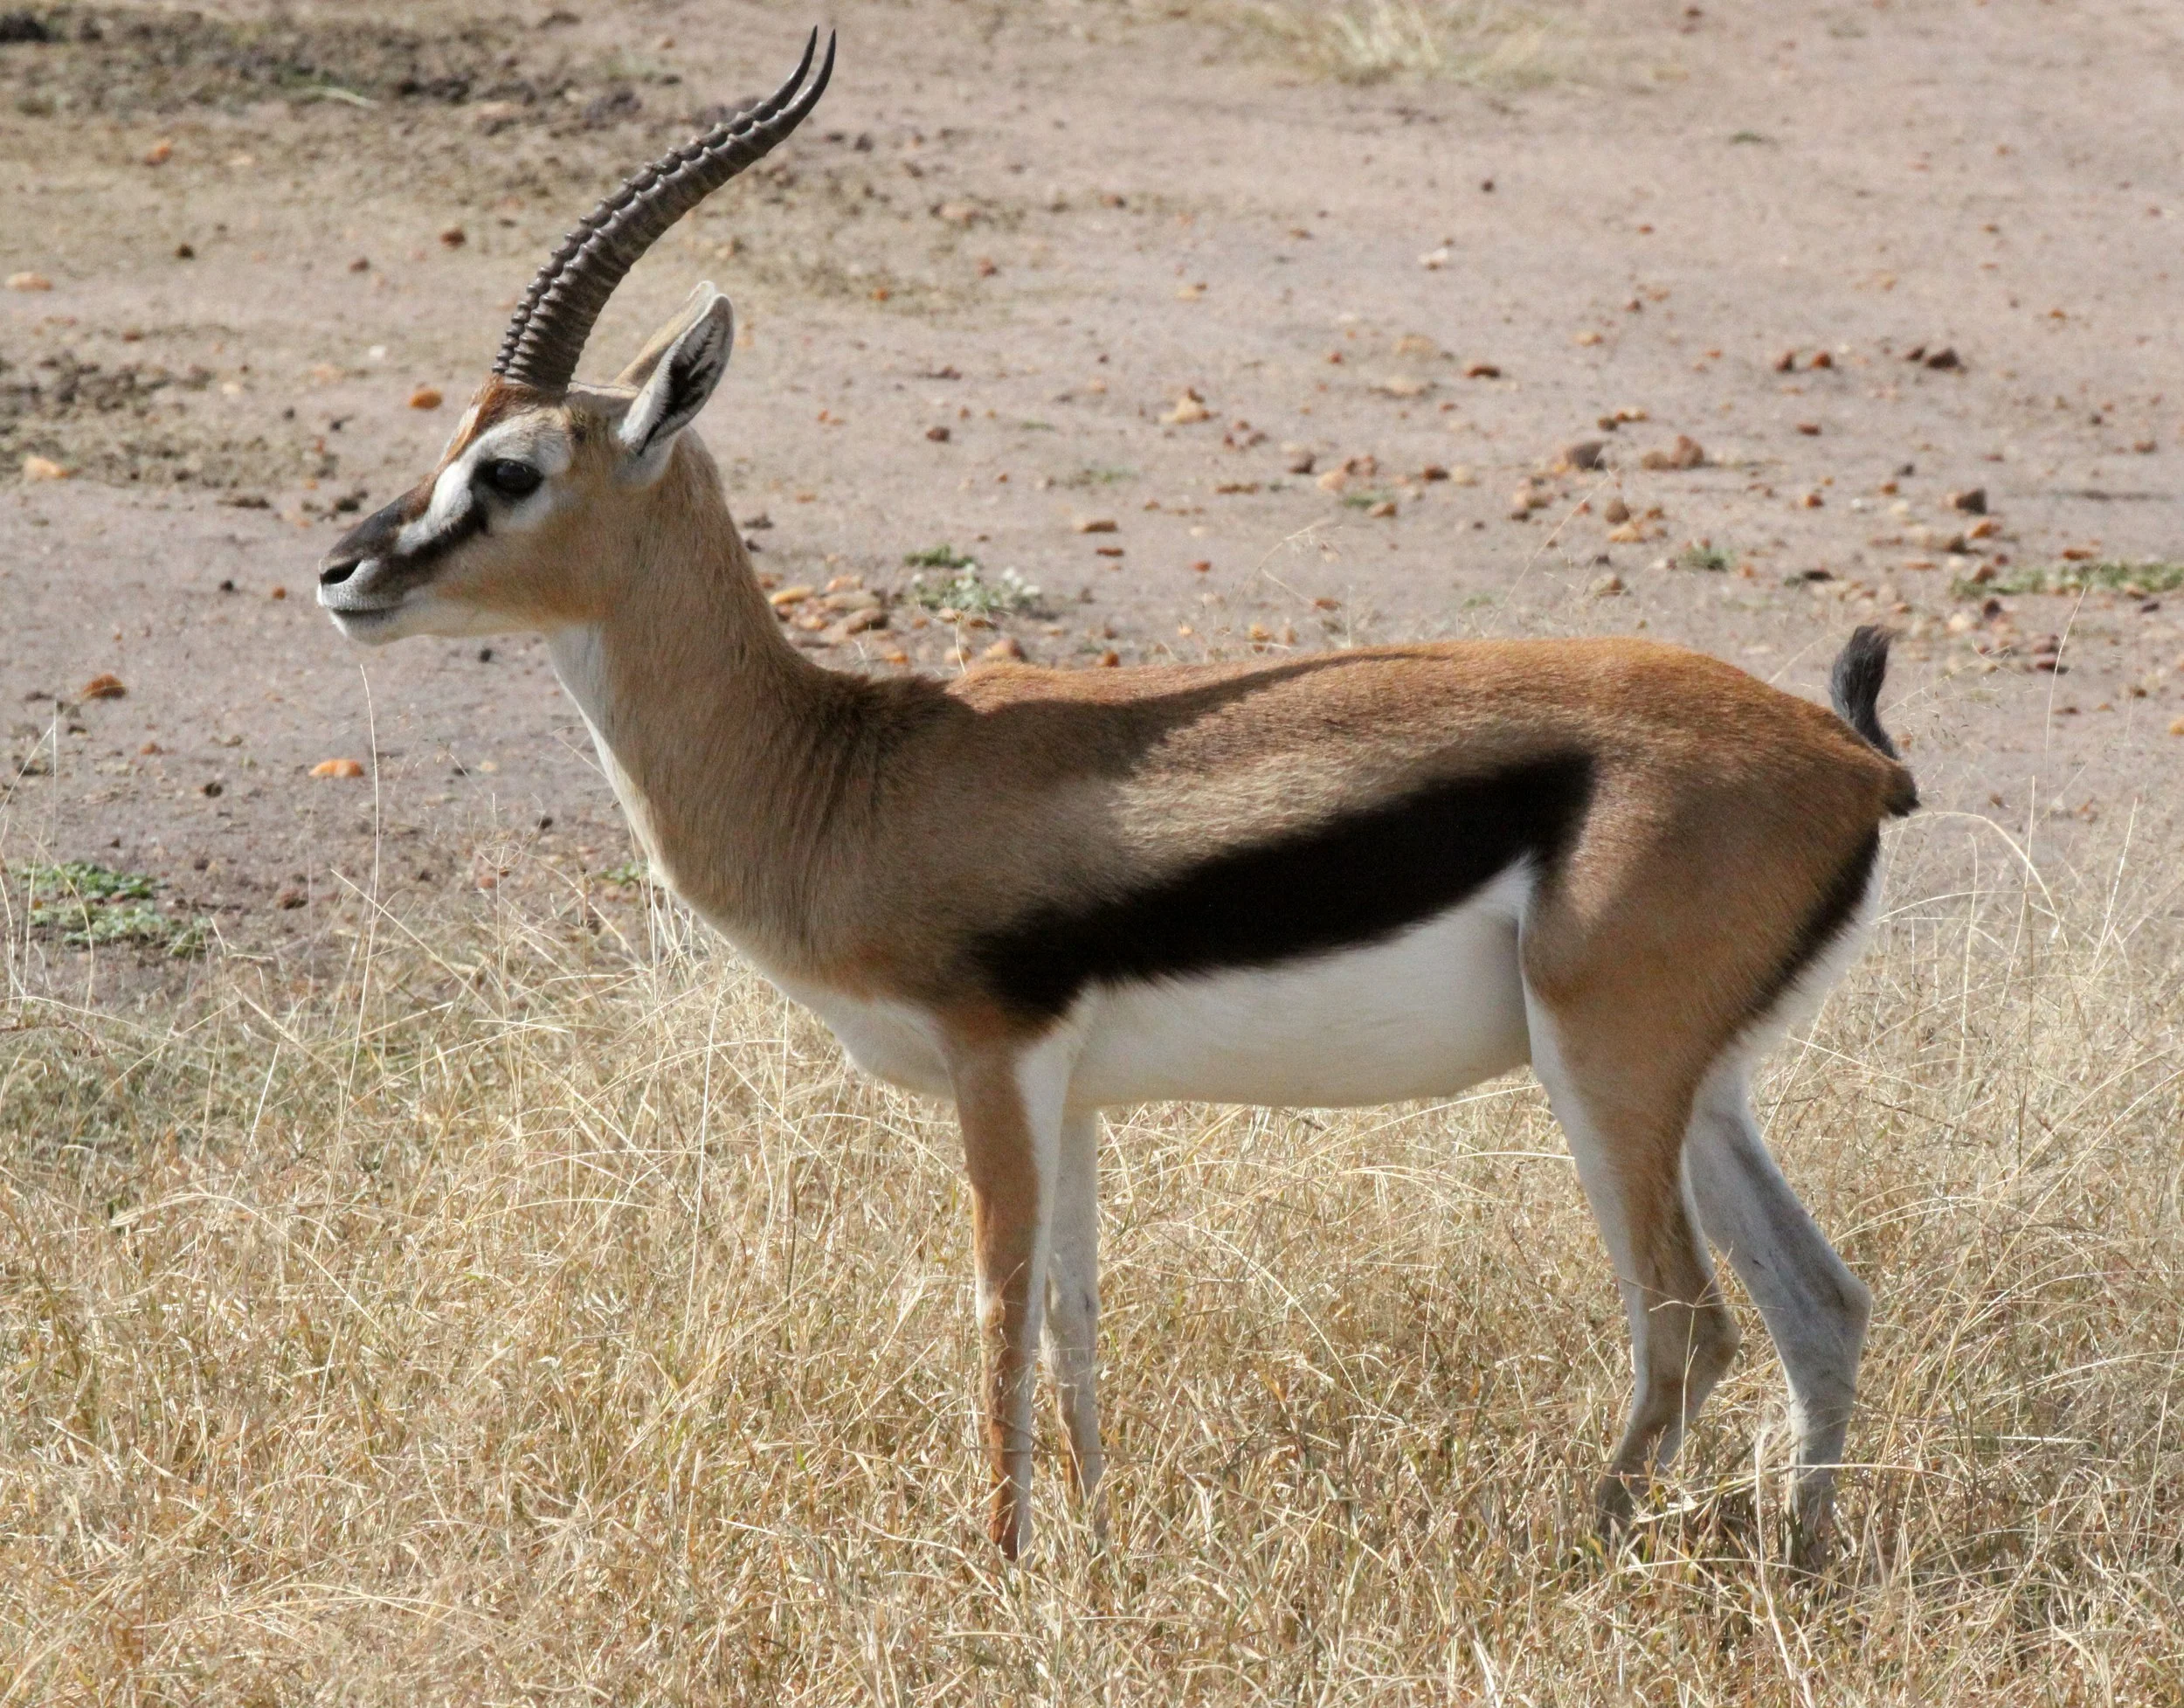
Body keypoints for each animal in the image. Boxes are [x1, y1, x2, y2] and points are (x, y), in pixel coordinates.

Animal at [314, 32, 1916, 1566]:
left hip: (1605, 1071)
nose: (343, 570)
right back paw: (1803, 1557)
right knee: (1820, 1300)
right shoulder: (1072, 1090)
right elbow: (1079, 1317)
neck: (846, 770)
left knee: (1687, 1320)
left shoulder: (995, 1062)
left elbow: (999, 1316)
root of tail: (1853, 759)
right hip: (1704, 1087)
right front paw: (1090, 1542)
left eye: (510, 470)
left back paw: (1576, 1549)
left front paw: (1000, 1566)